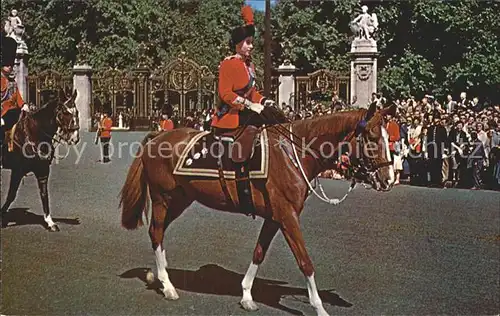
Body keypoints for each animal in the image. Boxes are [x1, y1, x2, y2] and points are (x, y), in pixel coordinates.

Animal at [120, 102, 394, 314]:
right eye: (372, 138)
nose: (389, 179)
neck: (293, 153)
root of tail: (157, 136)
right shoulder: (287, 216)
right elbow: (305, 261)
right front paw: (319, 307)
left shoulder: (275, 217)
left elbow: (259, 253)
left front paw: (246, 295)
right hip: (163, 198)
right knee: (156, 232)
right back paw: (167, 285)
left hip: (180, 200)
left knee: (158, 232)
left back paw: (158, 274)